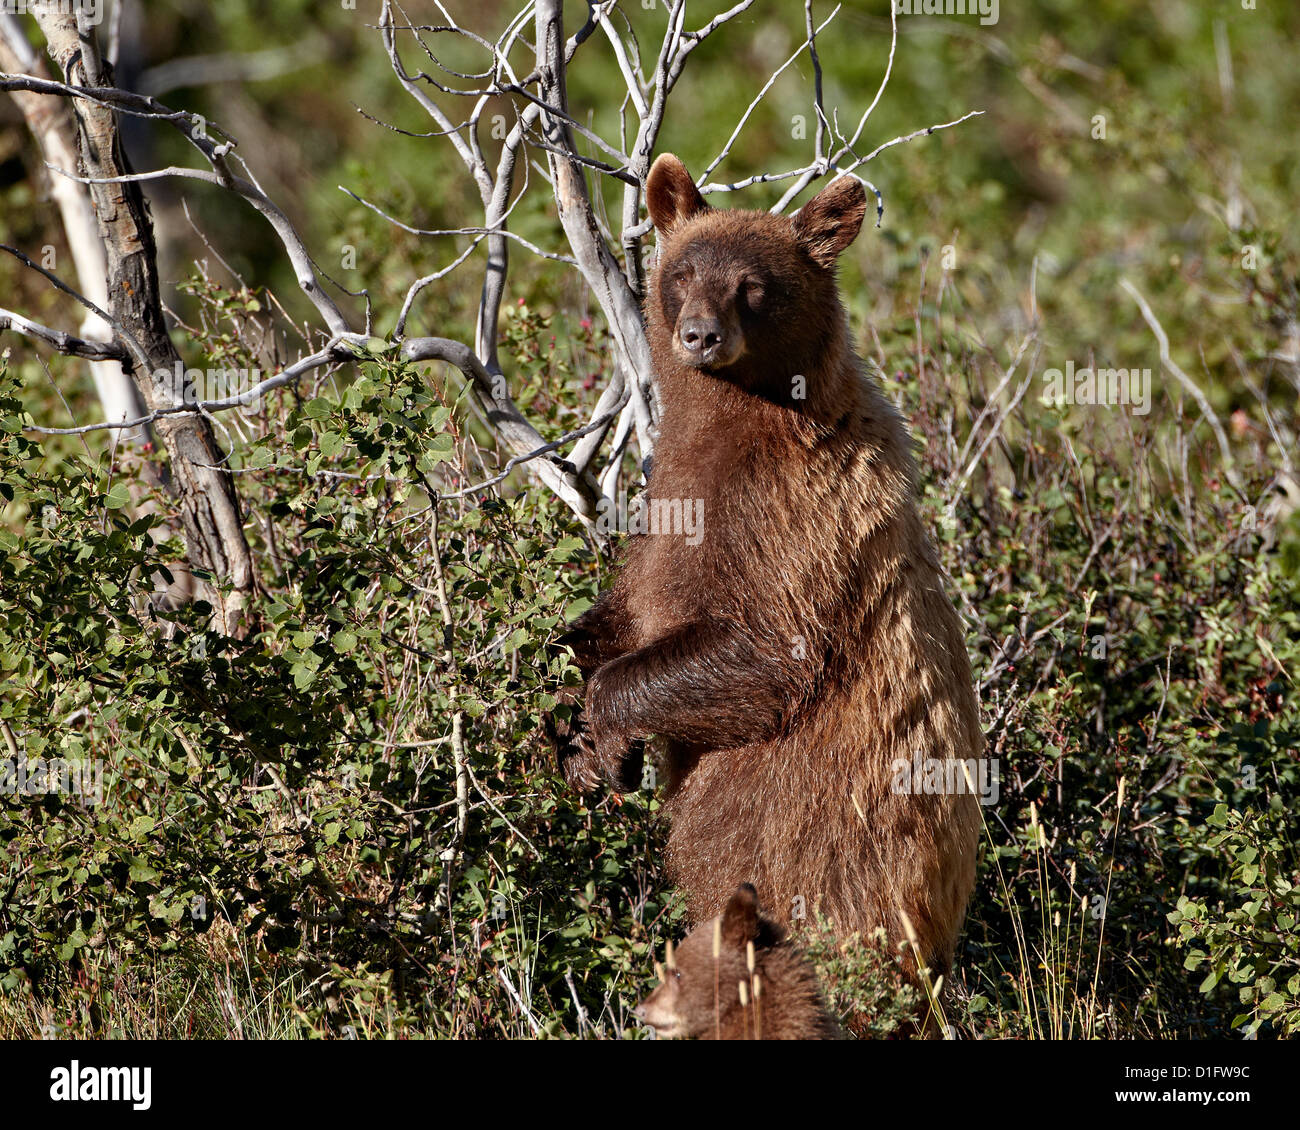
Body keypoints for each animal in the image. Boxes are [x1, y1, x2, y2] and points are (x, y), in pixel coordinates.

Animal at [551, 152, 982, 988]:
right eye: (685, 272)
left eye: (753, 286)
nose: (699, 335)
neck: (737, 417)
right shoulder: (666, 494)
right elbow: (625, 603)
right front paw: (569, 718)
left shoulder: (785, 518)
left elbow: (765, 651)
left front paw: (606, 743)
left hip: (807, 848)